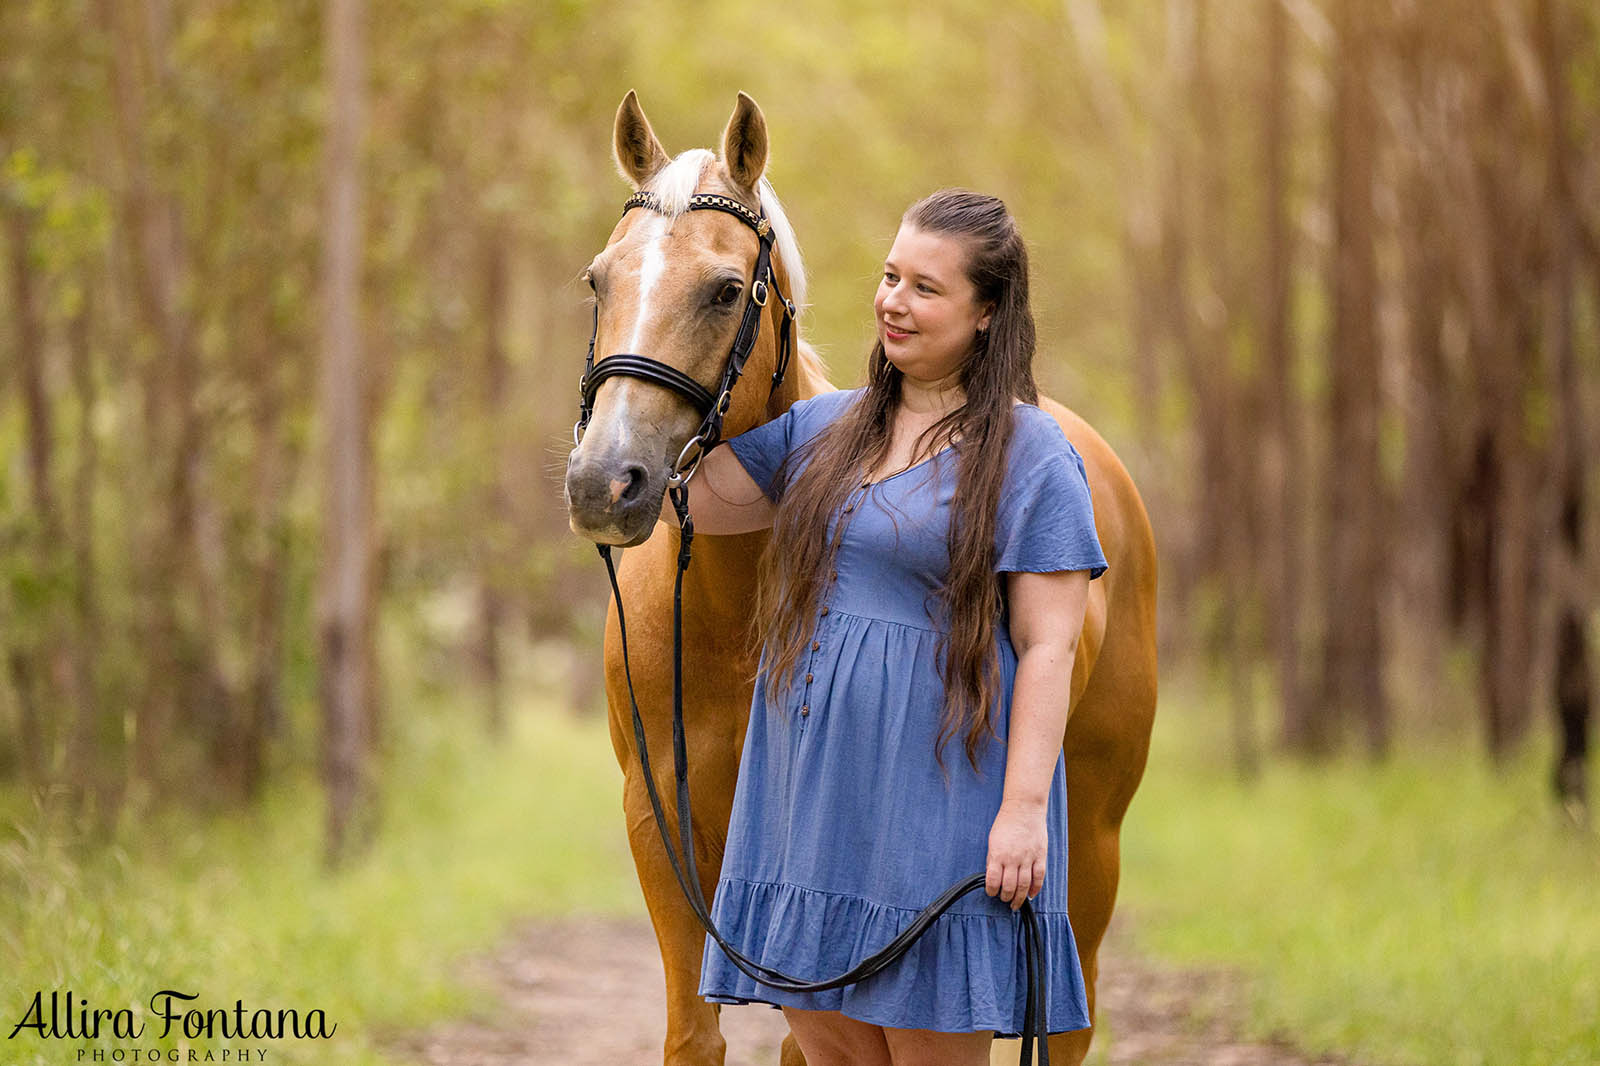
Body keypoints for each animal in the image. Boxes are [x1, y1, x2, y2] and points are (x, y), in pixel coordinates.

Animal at [569, 89, 1158, 1062]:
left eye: (724, 289)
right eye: (598, 281)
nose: (603, 484)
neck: (729, 615)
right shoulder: (658, 832)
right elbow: (696, 1036)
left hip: (1092, 854)